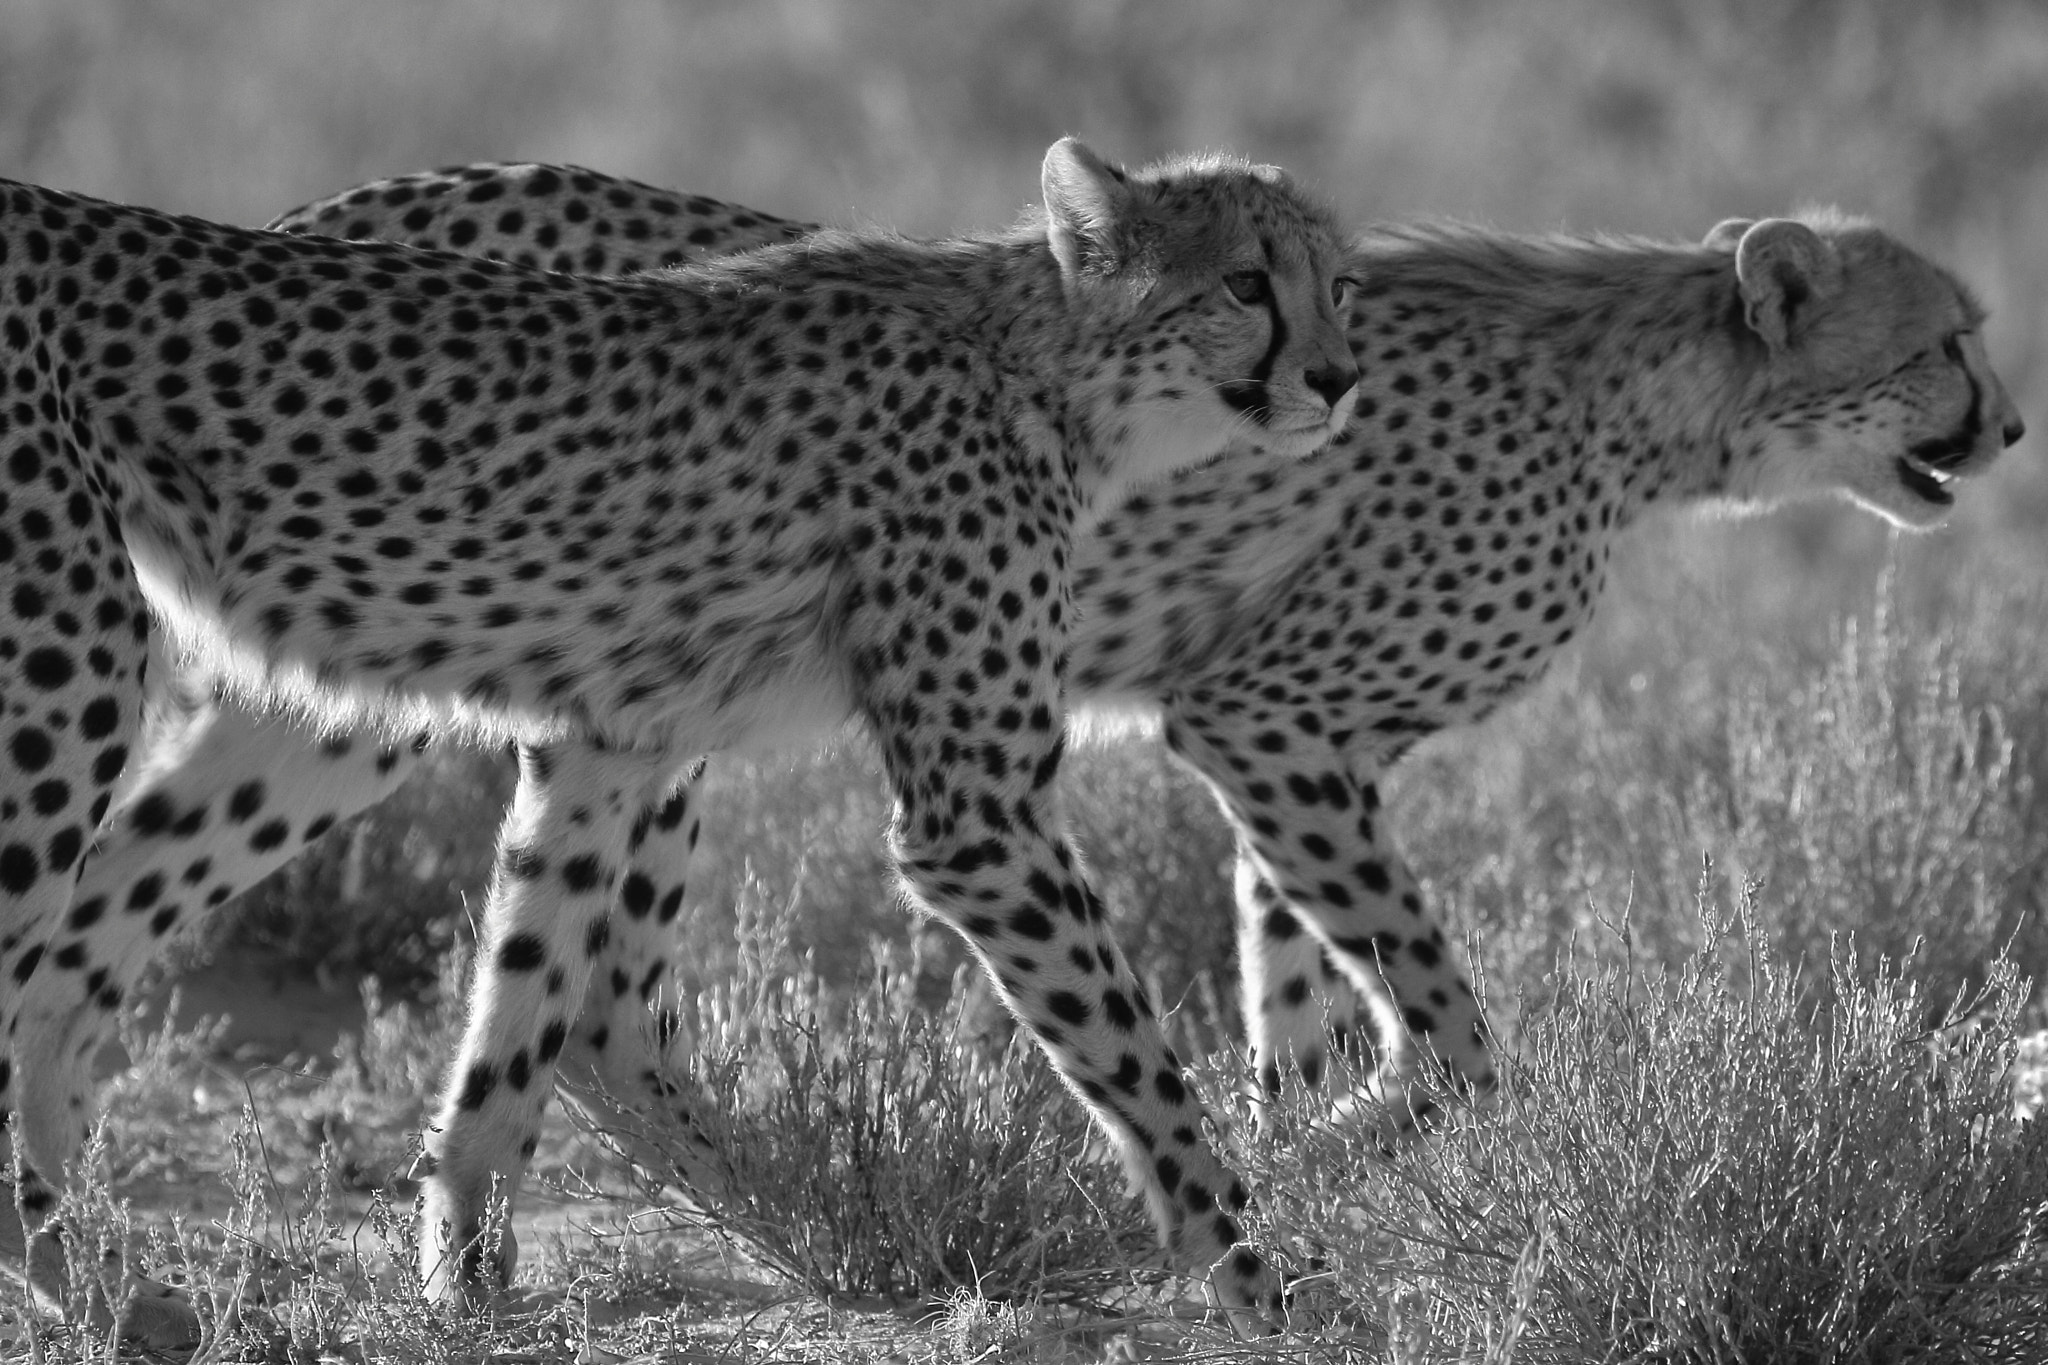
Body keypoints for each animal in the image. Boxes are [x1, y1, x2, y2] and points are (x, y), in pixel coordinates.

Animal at [0, 142, 1363, 1339]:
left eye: (1337, 284)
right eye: (1244, 283)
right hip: (70, 673)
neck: (1054, 366)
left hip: (323, 698)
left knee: (79, 953)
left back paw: (103, 1288)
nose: (1341, 383)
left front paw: (465, 1280)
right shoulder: (977, 820)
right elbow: (1139, 1066)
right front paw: (1264, 1280)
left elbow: (525, 1005)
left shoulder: (609, 741)